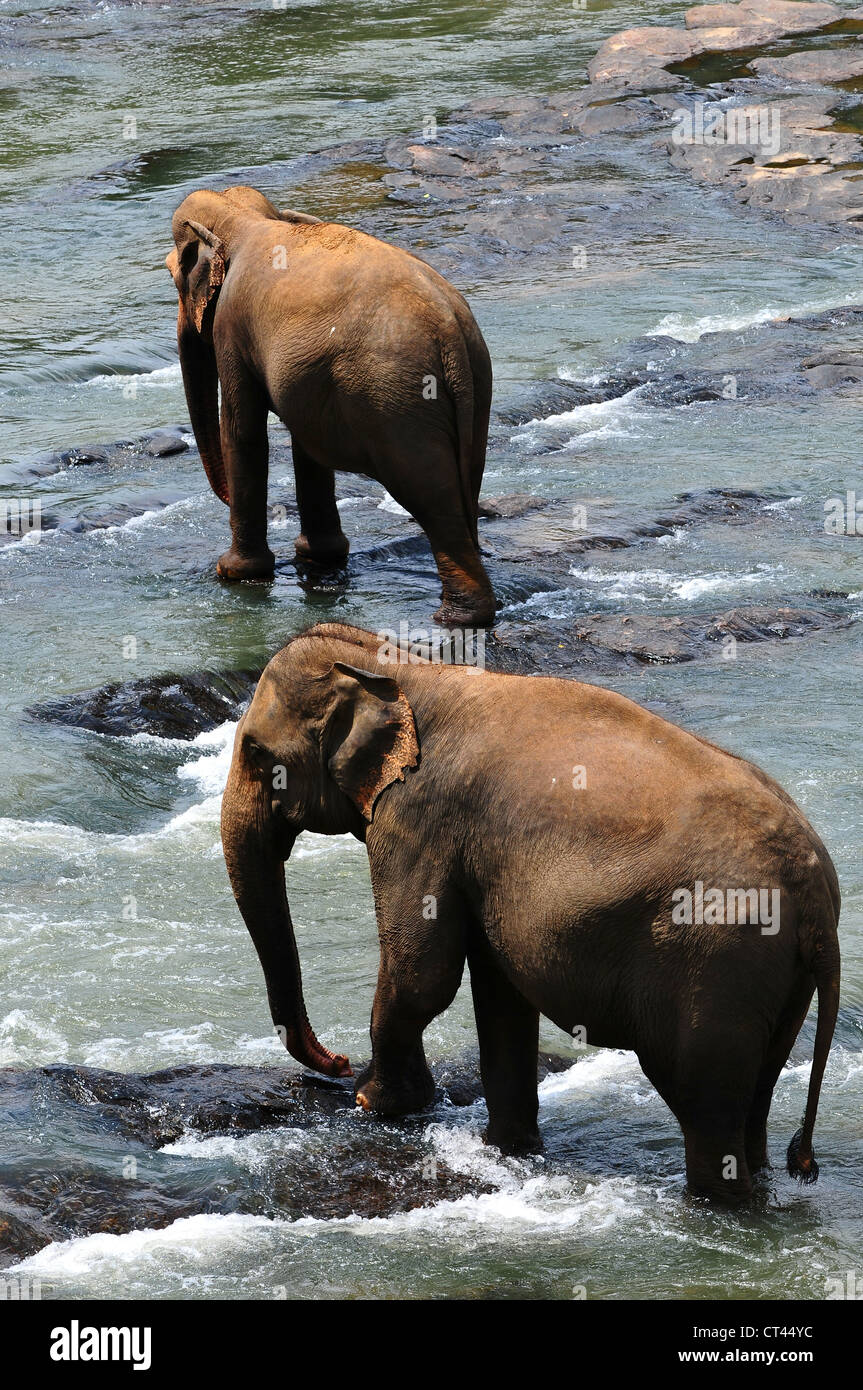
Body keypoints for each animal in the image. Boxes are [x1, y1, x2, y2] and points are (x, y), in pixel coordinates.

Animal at [165, 185, 496, 627]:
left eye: (174, 275)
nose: (225, 498)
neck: (247, 218)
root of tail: (450, 326)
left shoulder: (231, 327)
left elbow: (242, 431)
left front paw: (233, 574)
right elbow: (305, 441)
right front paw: (317, 557)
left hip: (398, 401)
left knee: (429, 495)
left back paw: (455, 618)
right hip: (476, 385)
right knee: (463, 485)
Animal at [221, 622, 841, 1203]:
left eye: (256, 753)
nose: (338, 1060)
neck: (404, 669)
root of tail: (815, 893)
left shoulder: (419, 820)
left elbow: (423, 974)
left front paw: (376, 1105)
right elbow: (500, 993)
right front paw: (508, 1150)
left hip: (716, 963)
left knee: (702, 1101)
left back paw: (715, 1206)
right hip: (777, 981)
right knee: (755, 1094)